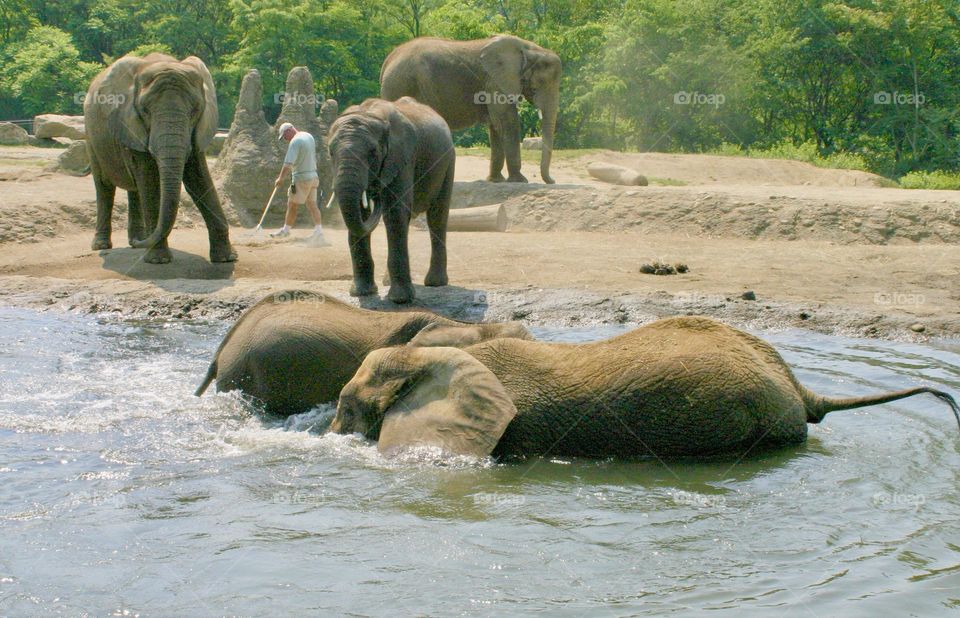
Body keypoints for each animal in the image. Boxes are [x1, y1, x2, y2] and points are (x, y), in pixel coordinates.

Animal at [85, 53, 237, 262]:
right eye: (145, 110)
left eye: (195, 110)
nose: (138, 243)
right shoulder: (132, 125)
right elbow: (149, 180)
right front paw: (158, 260)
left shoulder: (198, 131)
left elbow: (199, 178)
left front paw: (227, 258)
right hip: (91, 136)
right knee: (104, 186)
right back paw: (104, 245)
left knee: (134, 189)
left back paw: (137, 240)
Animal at [326, 95, 454, 304]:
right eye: (330, 152)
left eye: (372, 152)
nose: (375, 191)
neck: (369, 113)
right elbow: (360, 213)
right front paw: (362, 293)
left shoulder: (402, 156)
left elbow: (395, 212)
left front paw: (400, 300)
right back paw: (387, 281)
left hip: (448, 160)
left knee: (437, 217)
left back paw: (435, 283)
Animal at [380, 35, 564, 184]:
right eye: (538, 85)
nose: (552, 181)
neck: (529, 49)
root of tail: (388, 59)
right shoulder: (495, 81)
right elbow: (507, 120)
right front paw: (519, 181)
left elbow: (496, 124)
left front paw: (495, 181)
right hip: (401, 84)